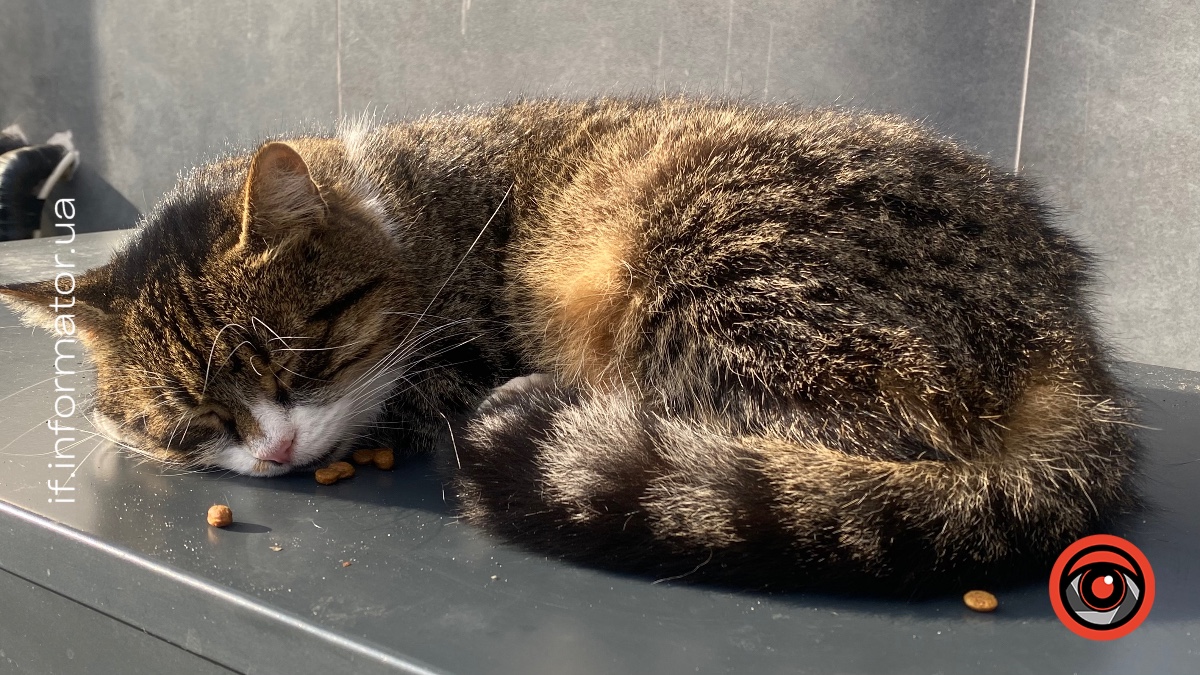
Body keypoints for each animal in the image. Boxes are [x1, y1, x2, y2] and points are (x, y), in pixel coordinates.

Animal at [0, 97, 1138, 592]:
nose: (275, 452)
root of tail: (1067, 339)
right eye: (194, 419)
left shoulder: (461, 350)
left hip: (712, 273)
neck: (408, 211)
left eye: (305, 361)